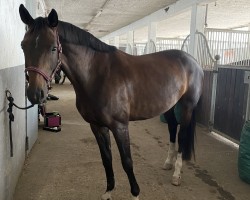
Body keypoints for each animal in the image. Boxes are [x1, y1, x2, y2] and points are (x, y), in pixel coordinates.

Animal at [19, 4, 203, 198]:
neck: (98, 75)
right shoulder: (97, 126)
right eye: (23, 46)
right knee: (172, 128)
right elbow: (106, 159)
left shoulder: (120, 126)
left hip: (186, 107)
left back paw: (176, 174)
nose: (35, 93)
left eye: (53, 48)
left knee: (182, 135)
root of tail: (192, 60)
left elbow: (127, 161)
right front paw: (108, 191)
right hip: (169, 107)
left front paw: (135, 194)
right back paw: (168, 163)